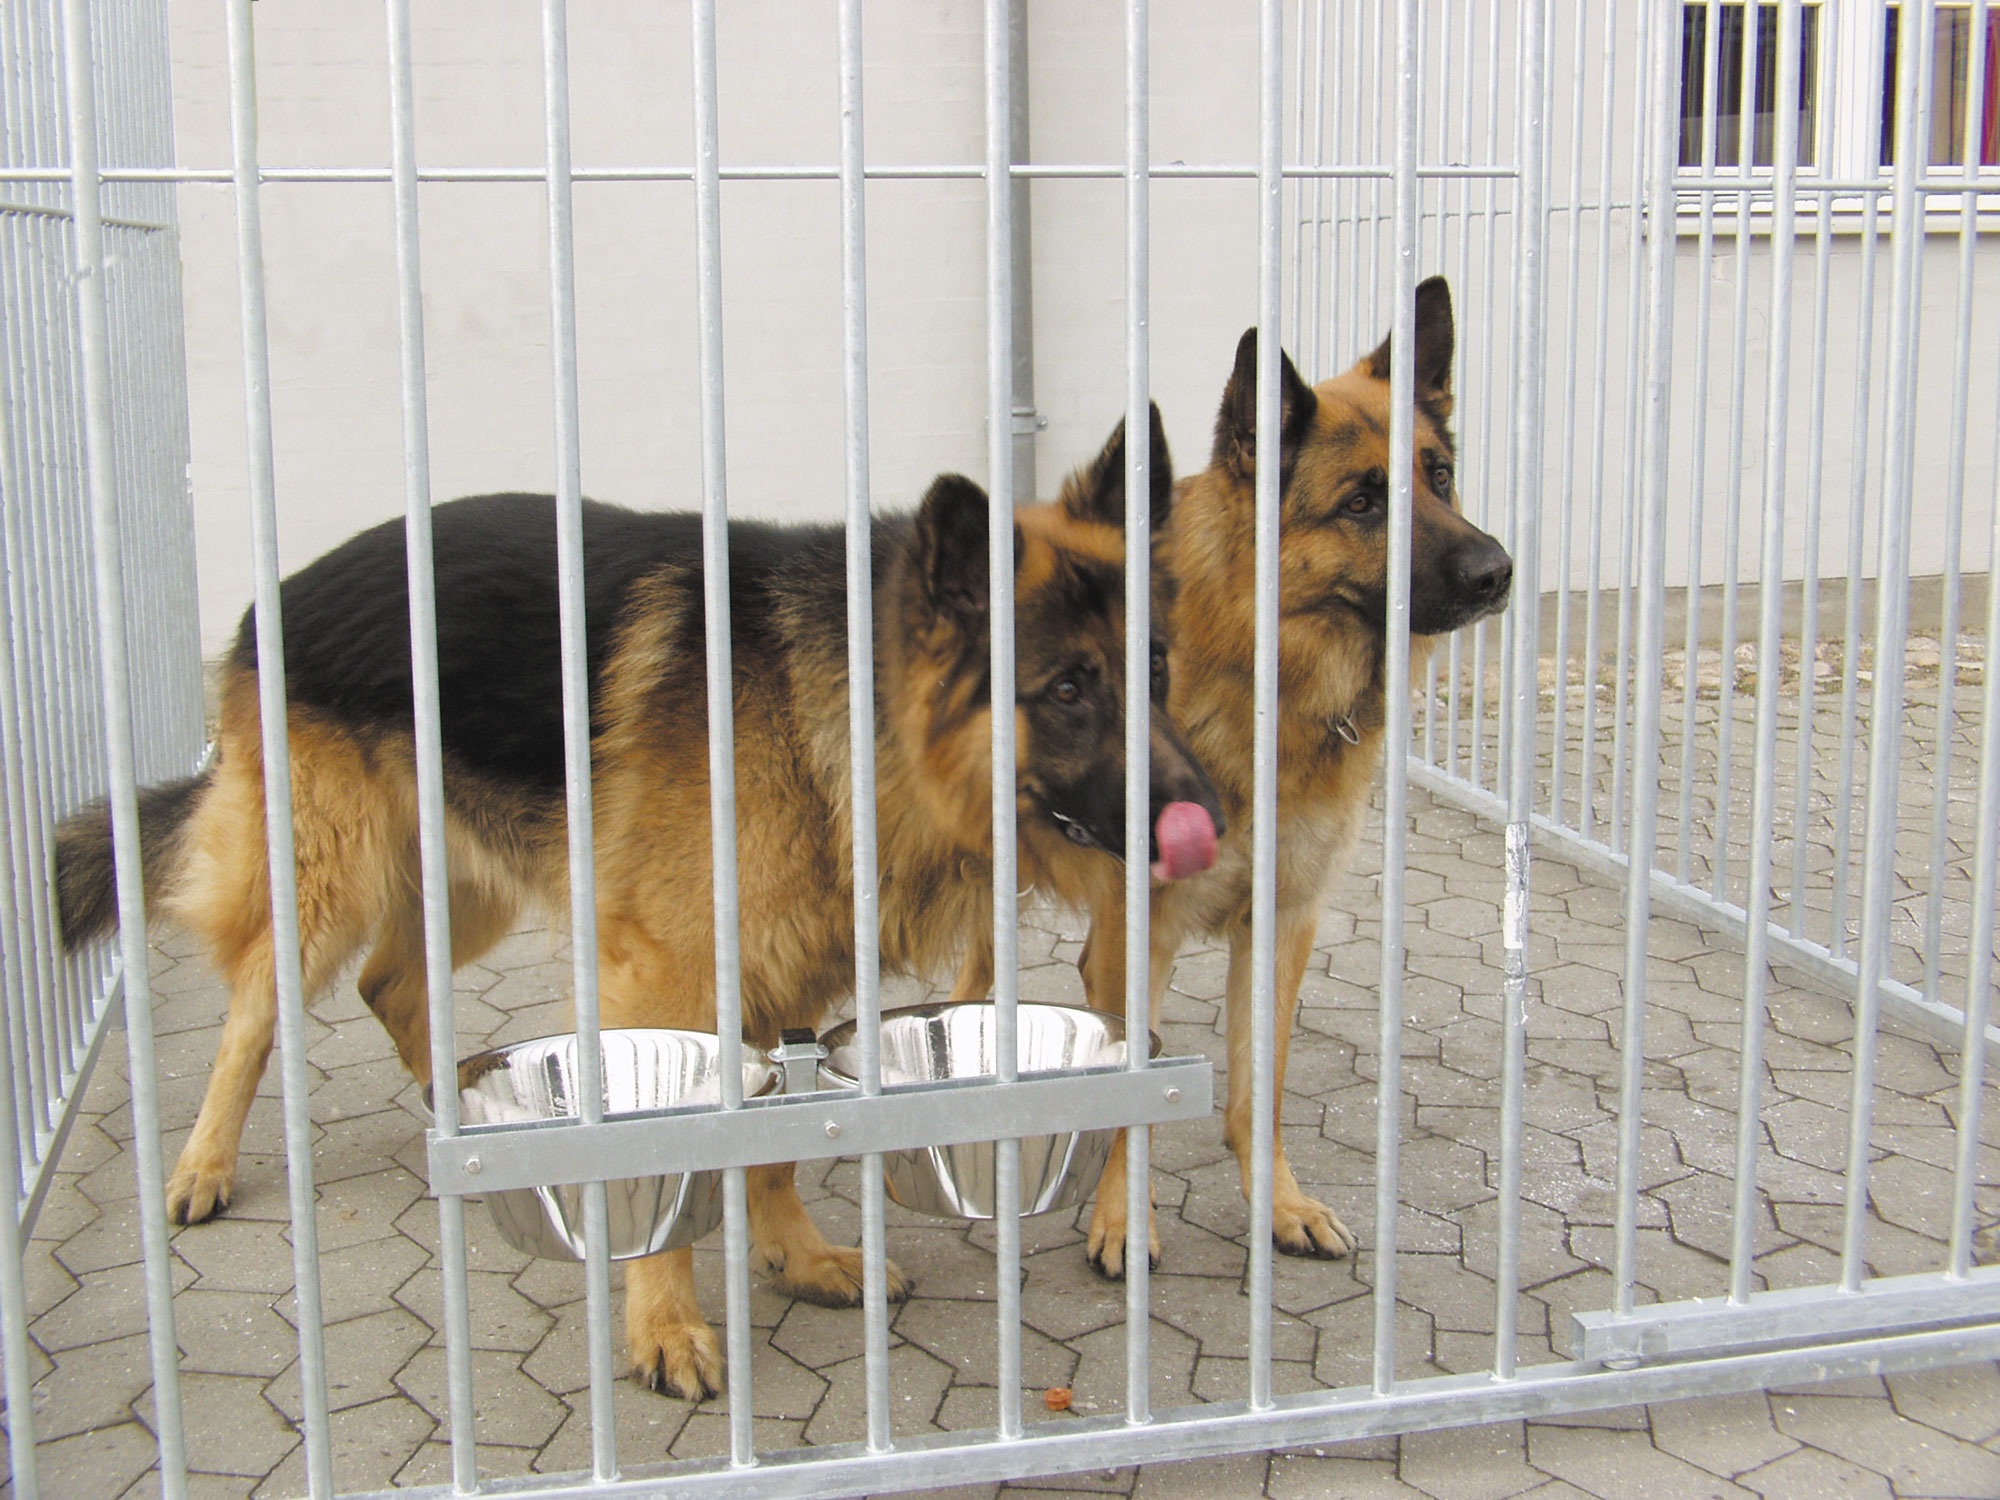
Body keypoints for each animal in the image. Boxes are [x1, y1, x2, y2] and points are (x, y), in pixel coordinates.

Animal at [58, 408, 1216, 1400]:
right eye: (1066, 689)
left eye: (1156, 667)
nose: (1211, 813)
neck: (838, 711)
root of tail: (278, 591)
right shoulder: (673, 972)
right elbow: (681, 1143)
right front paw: (664, 1326)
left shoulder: (776, 965)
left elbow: (769, 1134)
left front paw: (797, 1258)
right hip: (329, 883)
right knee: (254, 1011)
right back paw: (203, 1166)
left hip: (470, 881)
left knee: (390, 982)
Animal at [960, 276, 1504, 1272]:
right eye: (1362, 503)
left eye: (1438, 476)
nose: (1500, 573)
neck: (1267, 681)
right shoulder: (1142, 930)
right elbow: (1133, 1083)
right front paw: (1123, 1218)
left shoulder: (1282, 925)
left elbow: (1264, 1085)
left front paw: (1277, 1204)